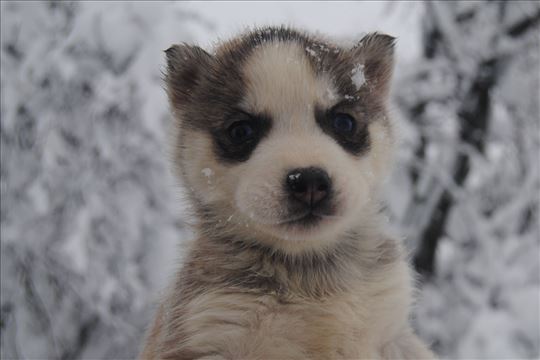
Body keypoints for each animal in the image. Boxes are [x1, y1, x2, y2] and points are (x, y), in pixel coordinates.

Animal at [140, 26, 434, 358]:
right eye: (240, 131)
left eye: (344, 122)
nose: (309, 181)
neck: (309, 276)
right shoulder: (207, 330)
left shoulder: (393, 329)